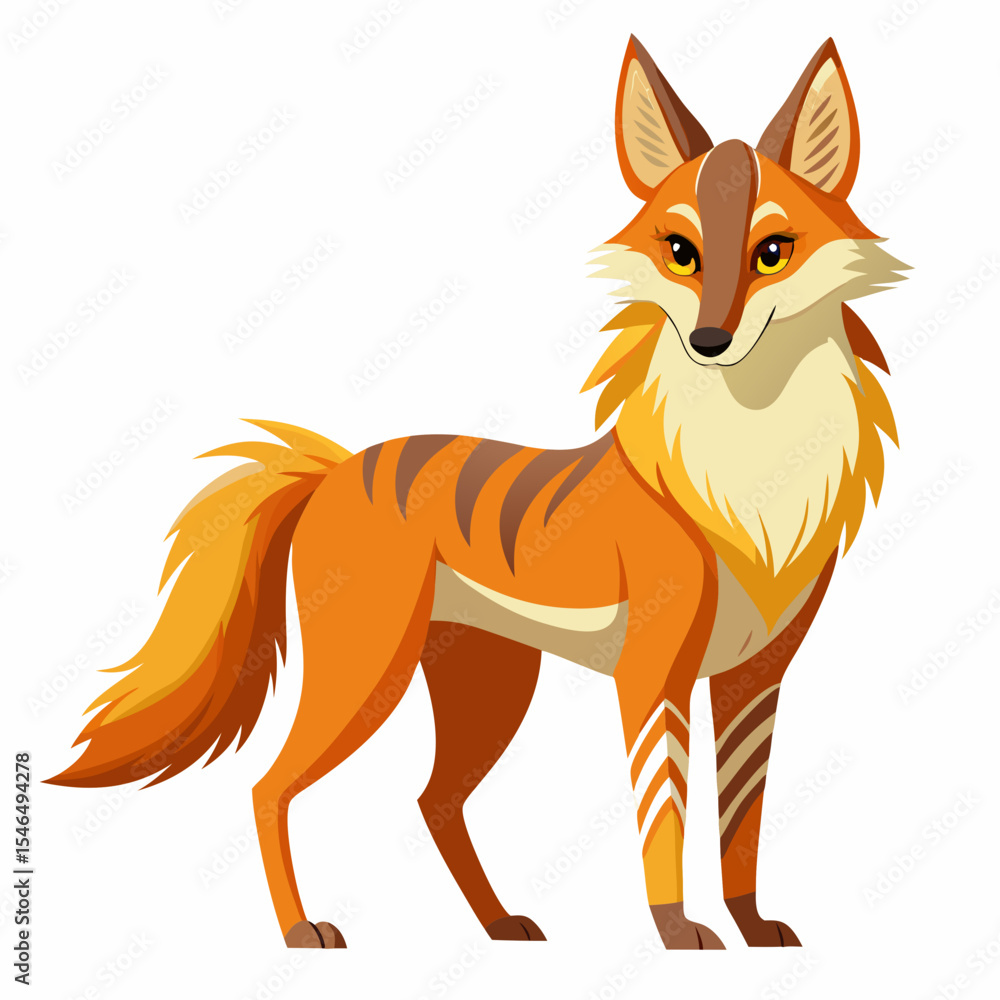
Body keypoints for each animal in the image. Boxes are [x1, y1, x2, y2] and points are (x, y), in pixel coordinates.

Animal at [48, 36, 907, 950]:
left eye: (772, 253)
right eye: (682, 253)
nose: (710, 340)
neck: (749, 489)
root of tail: (336, 467)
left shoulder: (755, 678)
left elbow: (740, 823)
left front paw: (751, 928)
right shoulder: (653, 677)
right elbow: (666, 822)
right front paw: (678, 935)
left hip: (488, 687)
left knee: (434, 799)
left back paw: (497, 924)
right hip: (369, 673)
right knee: (269, 786)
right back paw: (302, 931)